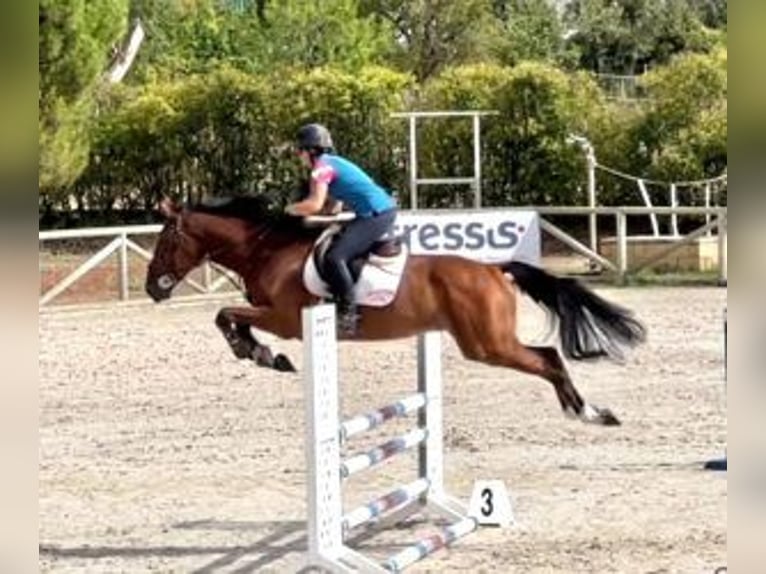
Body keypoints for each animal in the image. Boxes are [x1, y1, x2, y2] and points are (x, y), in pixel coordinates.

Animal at [145, 196, 646, 426]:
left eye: (166, 241)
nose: (152, 288)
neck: (268, 252)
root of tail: (493, 269)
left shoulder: (285, 319)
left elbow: (226, 316)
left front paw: (261, 354)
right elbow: (226, 316)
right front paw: (261, 354)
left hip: (488, 344)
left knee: (547, 358)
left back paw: (588, 412)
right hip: (488, 341)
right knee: (549, 356)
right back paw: (586, 410)